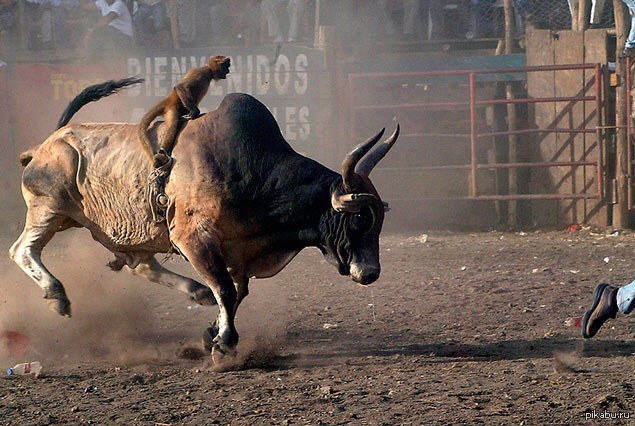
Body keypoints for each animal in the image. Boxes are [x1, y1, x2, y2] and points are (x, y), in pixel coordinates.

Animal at [8, 78, 398, 362]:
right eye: (360, 220)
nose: (371, 273)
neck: (254, 172)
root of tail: (46, 145)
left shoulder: (236, 251)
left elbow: (236, 292)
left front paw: (212, 333)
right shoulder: (194, 238)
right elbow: (226, 289)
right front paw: (224, 343)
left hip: (129, 233)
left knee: (142, 265)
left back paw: (195, 291)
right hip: (49, 209)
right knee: (22, 250)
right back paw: (56, 293)